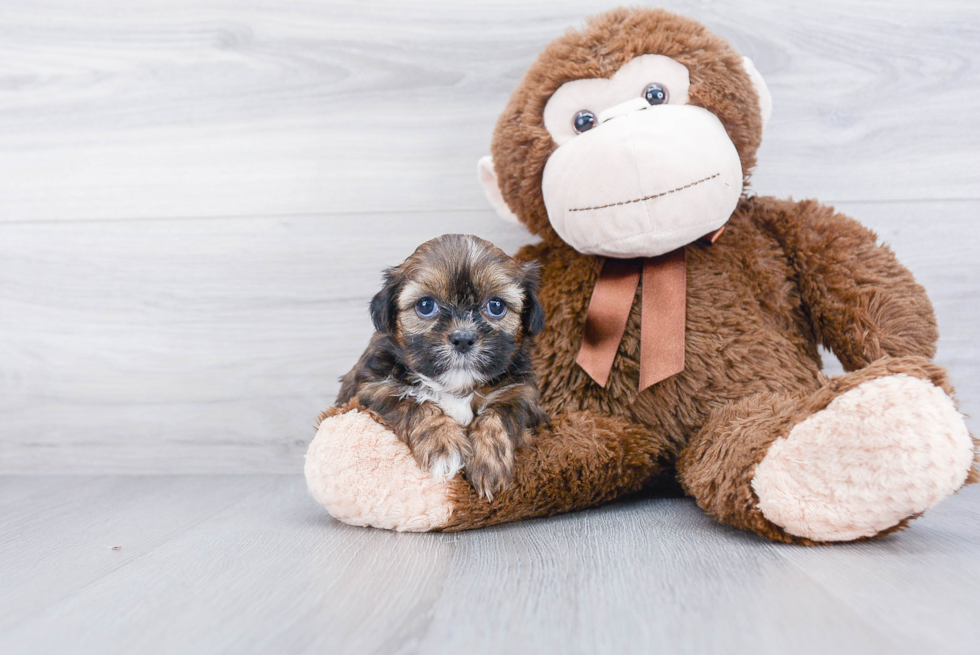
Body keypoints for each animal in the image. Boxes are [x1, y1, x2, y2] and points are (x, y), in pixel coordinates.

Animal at [336, 233, 552, 500]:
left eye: (496, 306)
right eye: (426, 306)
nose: (463, 338)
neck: (456, 388)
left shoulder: (522, 393)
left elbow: (499, 414)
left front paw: (489, 461)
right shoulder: (372, 386)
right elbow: (414, 403)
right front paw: (444, 445)